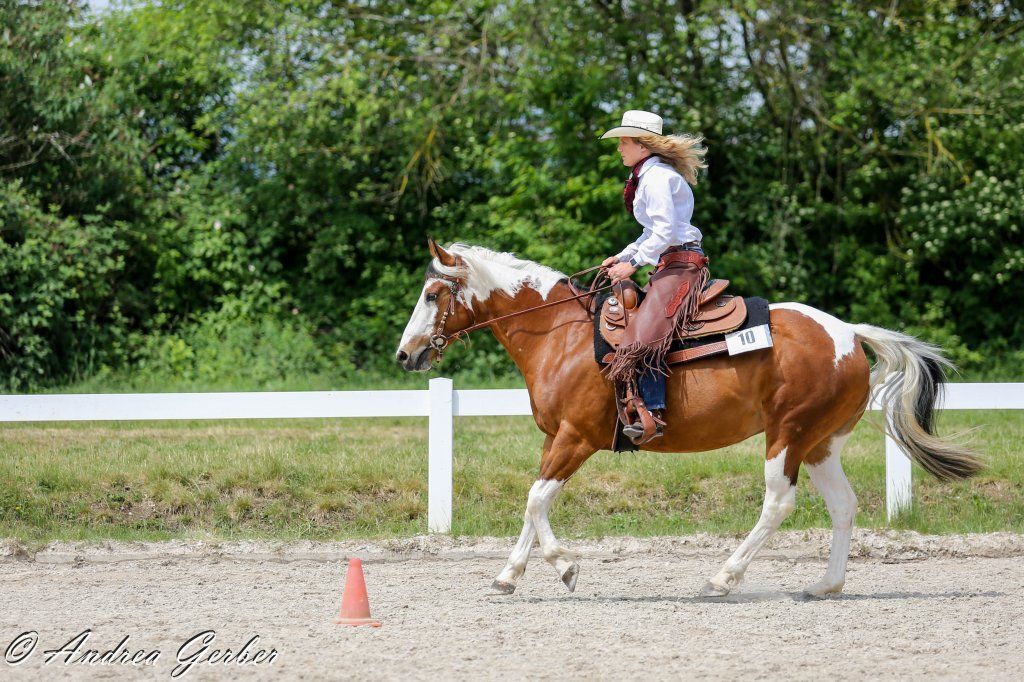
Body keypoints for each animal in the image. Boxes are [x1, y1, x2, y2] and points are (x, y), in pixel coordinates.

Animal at [396, 238, 982, 597]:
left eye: (432, 293)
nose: (406, 354)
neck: (562, 337)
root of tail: (849, 334)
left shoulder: (576, 439)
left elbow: (536, 501)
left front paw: (565, 567)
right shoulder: (555, 440)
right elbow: (532, 505)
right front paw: (507, 576)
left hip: (788, 435)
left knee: (778, 502)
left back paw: (723, 578)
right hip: (820, 443)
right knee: (844, 505)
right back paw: (825, 585)